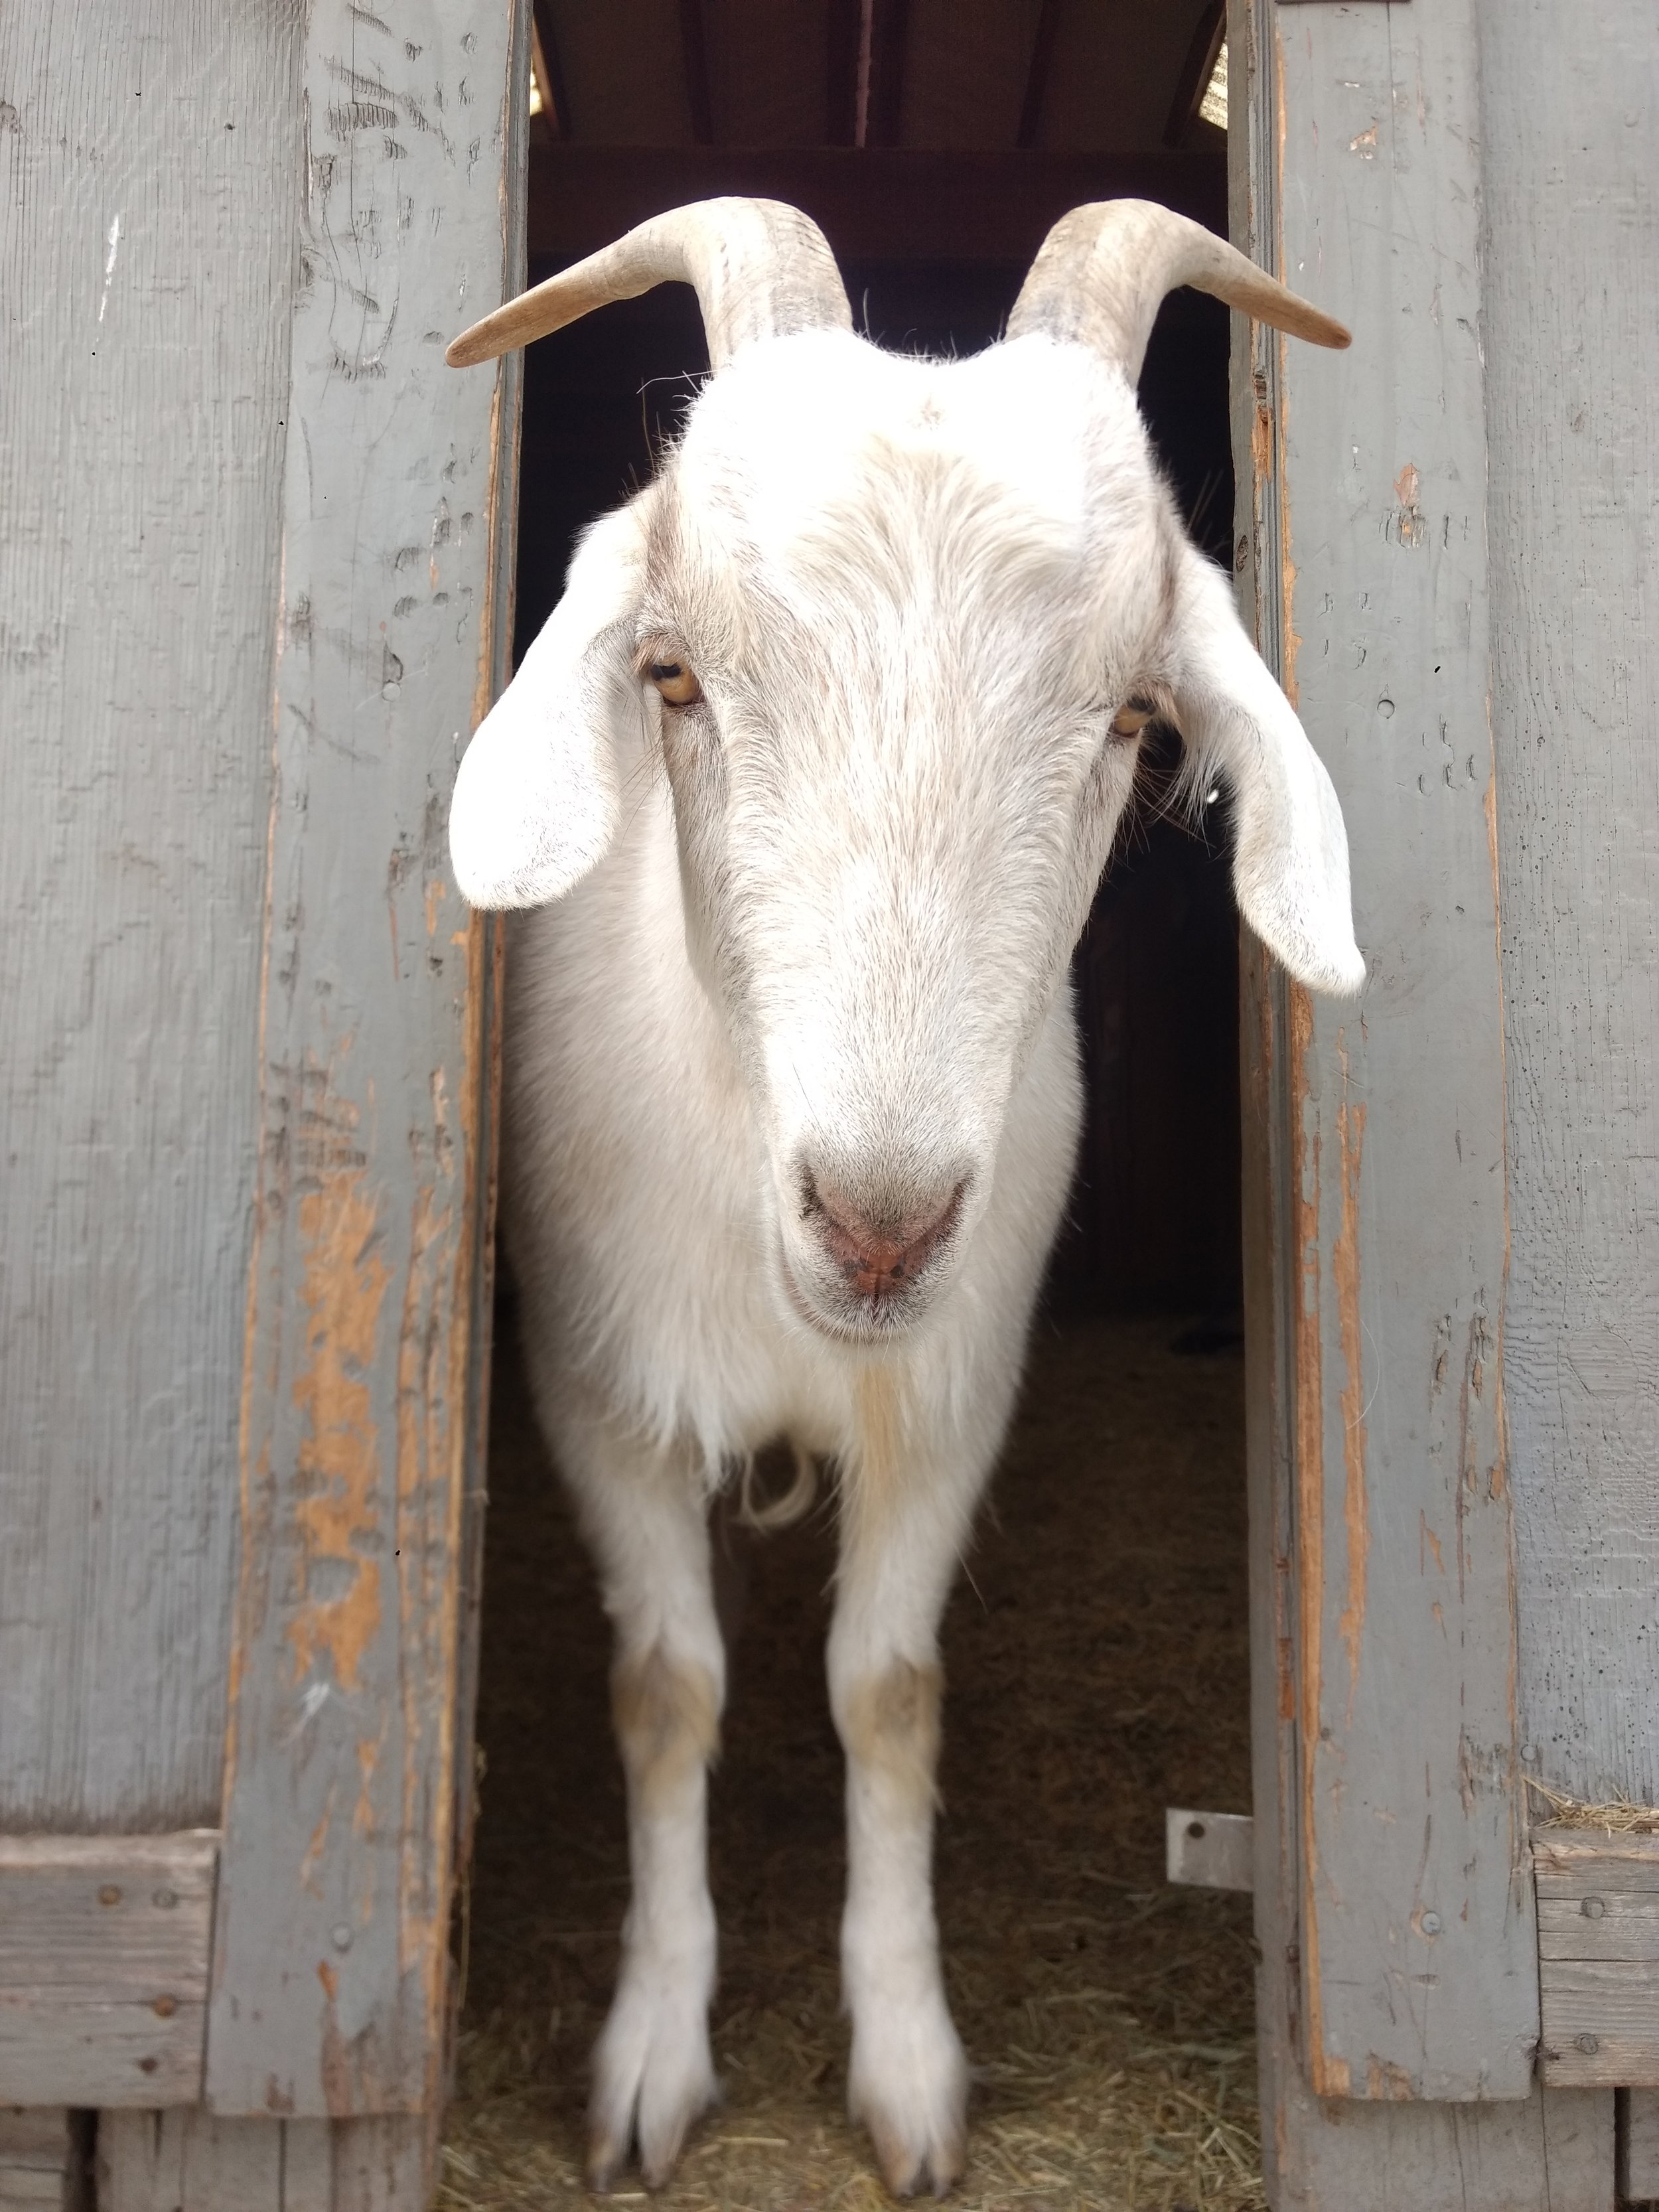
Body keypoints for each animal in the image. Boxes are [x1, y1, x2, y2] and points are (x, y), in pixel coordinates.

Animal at [446, 198, 1360, 2198]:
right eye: (671, 676)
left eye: (1137, 717)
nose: (877, 1222)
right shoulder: (595, 1391)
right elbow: (668, 1685)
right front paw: (653, 2049)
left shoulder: (951, 1399)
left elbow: (887, 1688)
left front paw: (908, 2060)